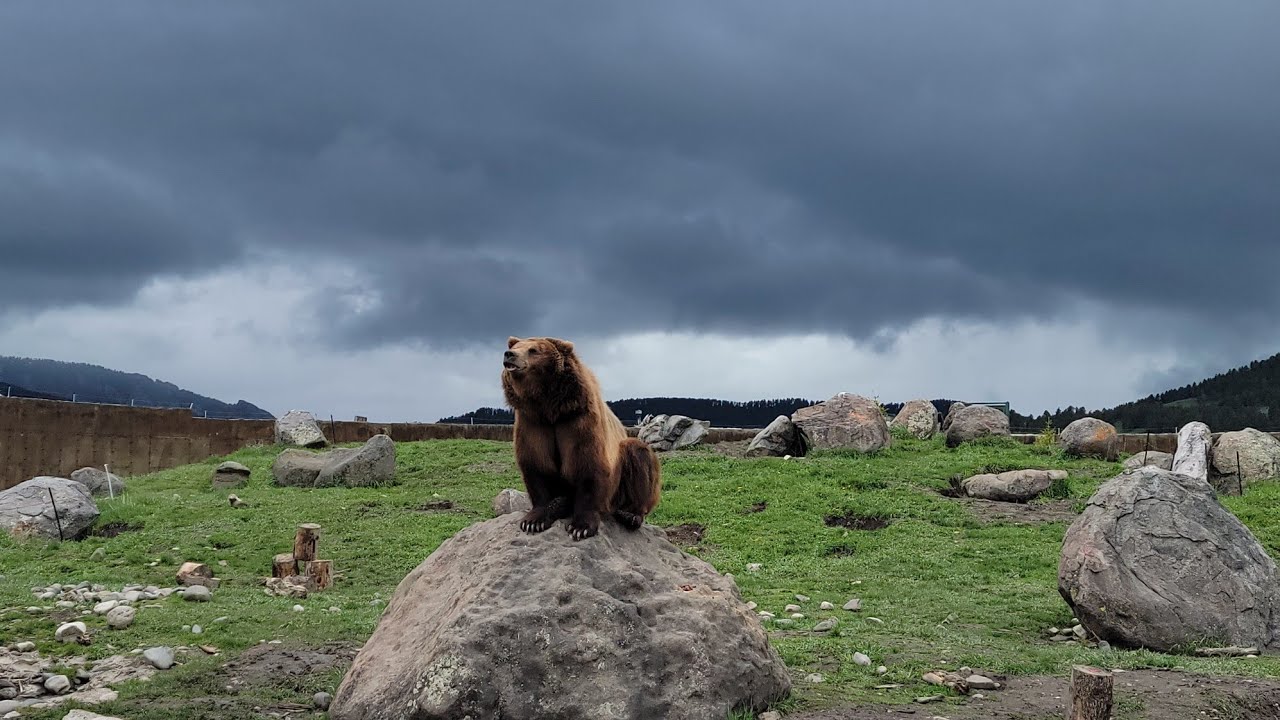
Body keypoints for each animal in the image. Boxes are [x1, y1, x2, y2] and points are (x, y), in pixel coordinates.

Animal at [501, 336, 662, 540]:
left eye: (533, 350)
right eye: (516, 346)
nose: (509, 355)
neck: (550, 407)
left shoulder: (578, 422)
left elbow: (587, 468)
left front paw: (581, 527)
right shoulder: (533, 423)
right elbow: (537, 467)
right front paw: (533, 521)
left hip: (618, 488)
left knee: (637, 453)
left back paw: (630, 514)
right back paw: (560, 503)